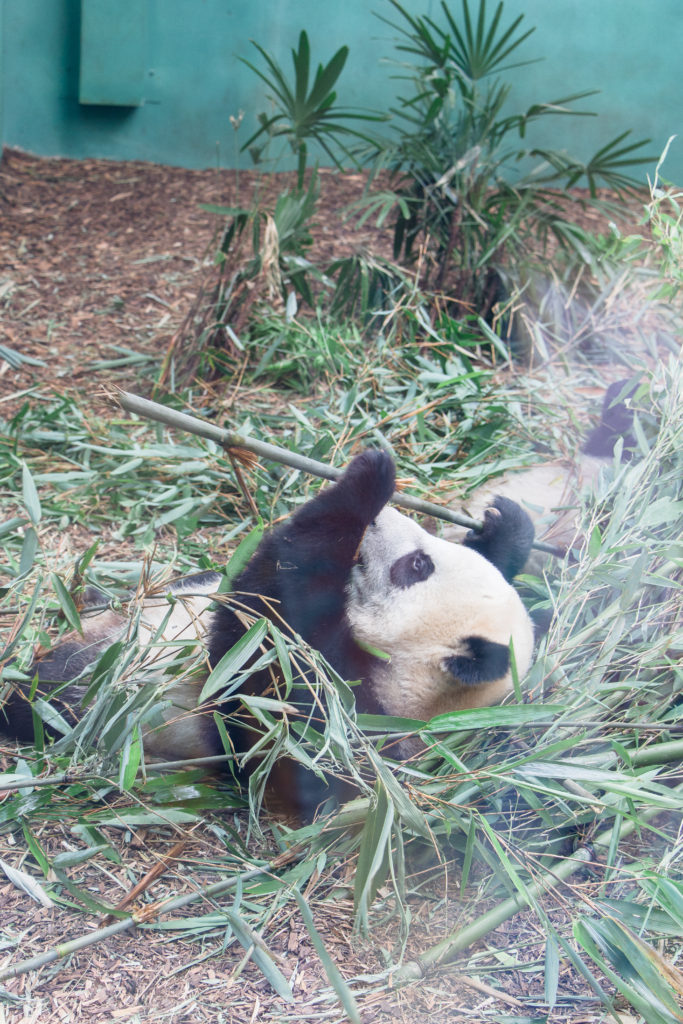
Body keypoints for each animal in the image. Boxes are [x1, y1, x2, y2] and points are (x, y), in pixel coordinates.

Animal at [2, 452, 536, 819]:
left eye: (417, 566)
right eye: (428, 557)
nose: (384, 519)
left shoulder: (339, 724)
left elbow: (265, 634)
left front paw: (367, 482)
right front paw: (505, 528)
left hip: (98, 690)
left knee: (49, 693)